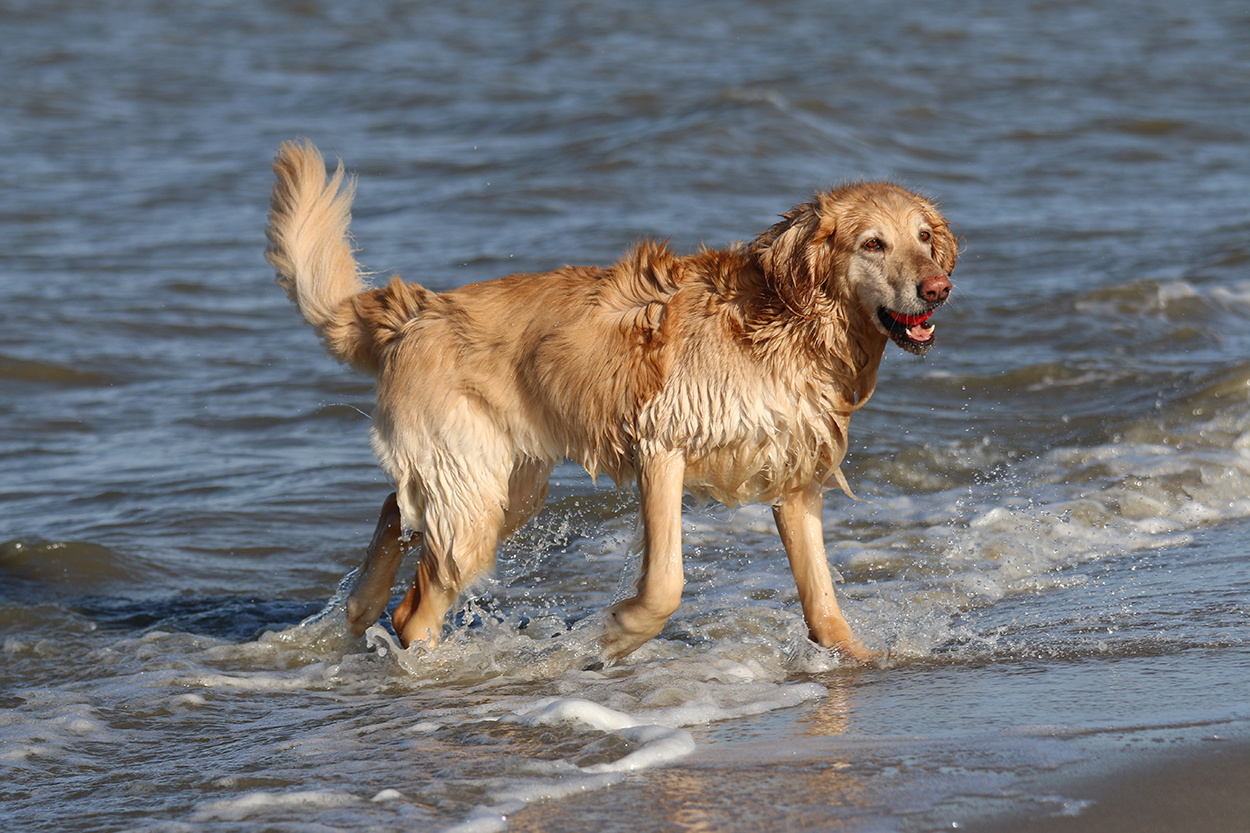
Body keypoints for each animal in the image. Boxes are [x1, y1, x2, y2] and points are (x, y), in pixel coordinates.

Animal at [264, 140, 956, 663]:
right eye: (872, 244)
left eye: (924, 237)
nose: (939, 288)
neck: (788, 323)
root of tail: (418, 312)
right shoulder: (663, 443)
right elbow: (666, 584)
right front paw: (616, 634)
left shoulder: (795, 476)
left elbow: (821, 595)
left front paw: (856, 657)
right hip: (475, 497)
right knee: (416, 604)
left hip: (506, 487)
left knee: (396, 510)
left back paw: (362, 604)